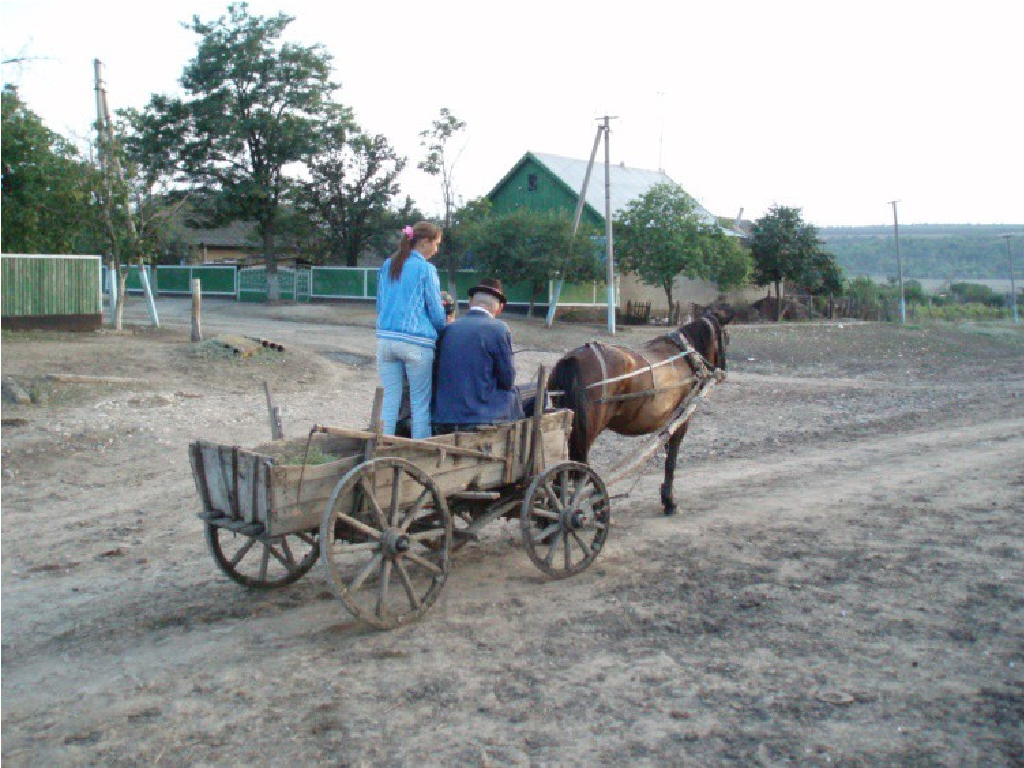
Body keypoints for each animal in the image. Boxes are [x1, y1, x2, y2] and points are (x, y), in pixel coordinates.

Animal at [547, 306, 733, 516]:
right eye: (726, 337)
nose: (723, 370)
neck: (686, 356)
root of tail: (572, 359)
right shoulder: (681, 420)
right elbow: (671, 461)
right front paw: (669, 501)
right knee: (581, 471)